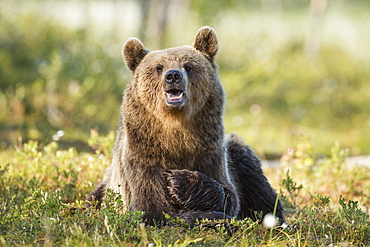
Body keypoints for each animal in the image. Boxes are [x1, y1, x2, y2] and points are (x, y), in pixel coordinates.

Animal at [88, 26, 284, 225]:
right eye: (159, 67)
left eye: (188, 66)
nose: (173, 75)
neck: (176, 129)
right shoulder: (142, 157)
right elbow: (151, 208)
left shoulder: (210, 152)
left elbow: (229, 195)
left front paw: (180, 181)